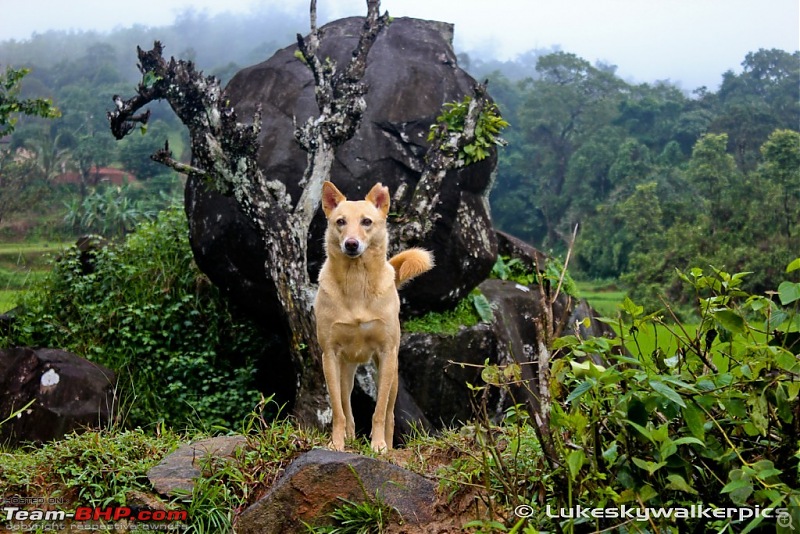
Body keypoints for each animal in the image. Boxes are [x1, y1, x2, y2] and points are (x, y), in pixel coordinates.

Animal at [314, 182, 438, 454]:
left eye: (367, 222)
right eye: (340, 221)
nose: (351, 244)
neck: (356, 281)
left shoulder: (386, 352)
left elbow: (379, 411)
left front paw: (378, 445)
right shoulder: (329, 355)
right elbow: (338, 411)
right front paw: (336, 443)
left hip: (391, 375)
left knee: (390, 412)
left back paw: (388, 445)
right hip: (345, 370)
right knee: (347, 407)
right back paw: (349, 437)